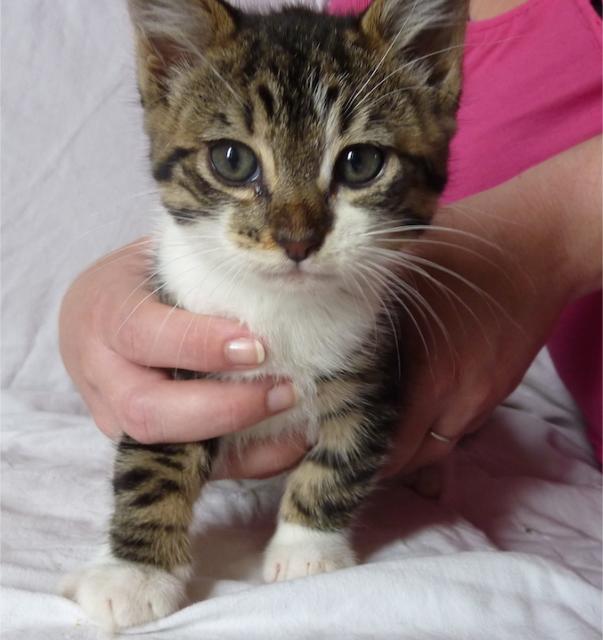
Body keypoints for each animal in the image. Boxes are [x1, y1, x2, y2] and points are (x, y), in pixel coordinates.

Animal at [61, 0, 466, 630]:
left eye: (361, 162)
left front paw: (307, 550)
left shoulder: (374, 360)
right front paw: (135, 571)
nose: (297, 239)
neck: (281, 307)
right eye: (232, 160)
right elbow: (154, 461)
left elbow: (346, 452)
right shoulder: (175, 346)